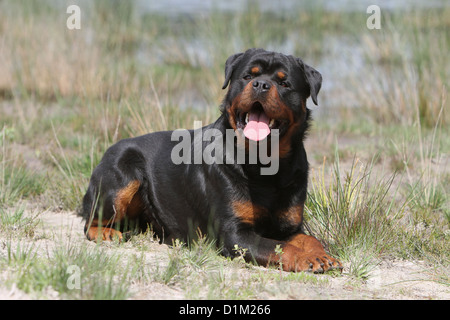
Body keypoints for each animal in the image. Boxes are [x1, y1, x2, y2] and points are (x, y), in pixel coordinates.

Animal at [81, 47, 342, 272]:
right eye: (248, 76)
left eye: (284, 83)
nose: (260, 84)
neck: (264, 164)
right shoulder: (235, 234)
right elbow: (278, 246)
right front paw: (305, 258)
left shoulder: (288, 227)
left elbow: (309, 239)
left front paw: (321, 255)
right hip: (121, 176)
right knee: (91, 220)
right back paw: (104, 232)